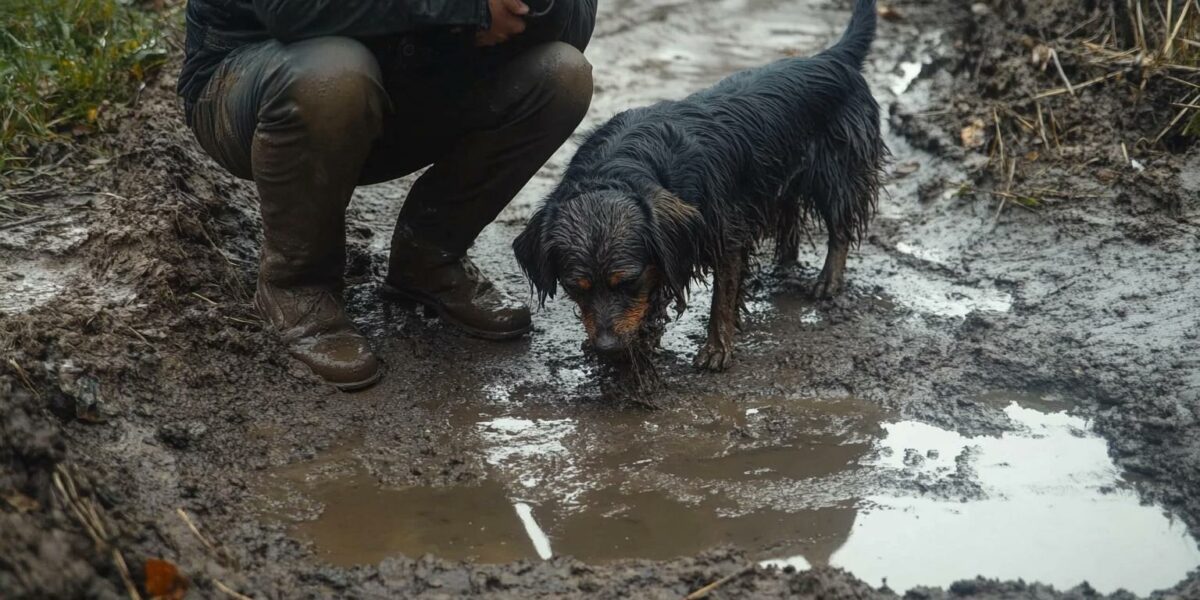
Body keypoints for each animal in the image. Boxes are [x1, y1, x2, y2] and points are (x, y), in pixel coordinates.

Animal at [511, 0, 888, 369]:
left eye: (628, 280)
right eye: (575, 287)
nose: (606, 347)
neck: (619, 164)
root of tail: (832, 57)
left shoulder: (724, 231)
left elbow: (722, 295)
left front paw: (716, 348)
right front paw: (642, 340)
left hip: (837, 168)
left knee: (840, 224)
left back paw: (828, 279)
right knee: (789, 213)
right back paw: (784, 262)